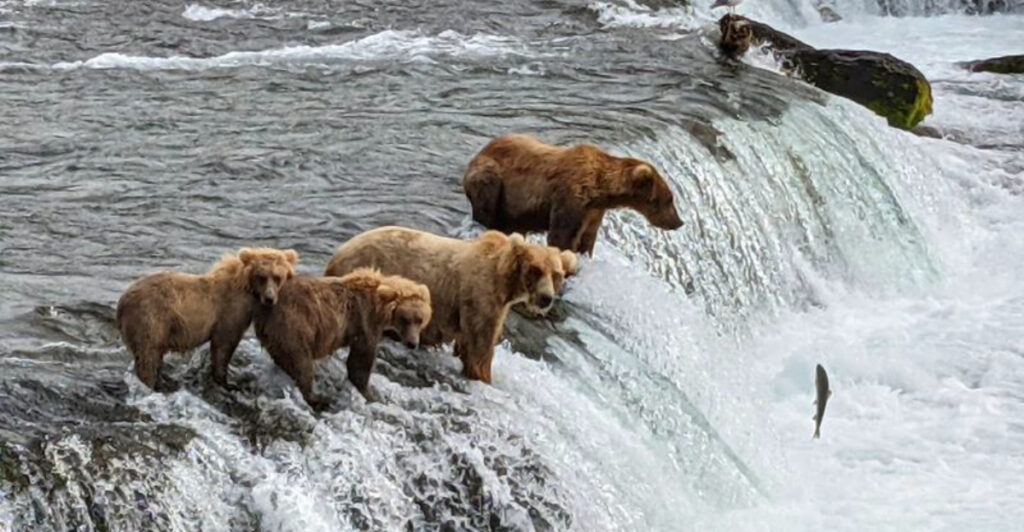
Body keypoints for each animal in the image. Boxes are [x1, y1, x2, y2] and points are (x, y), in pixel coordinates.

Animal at [116, 247, 298, 391]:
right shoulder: (228, 313)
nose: (269, 298)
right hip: (151, 318)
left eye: (278, 276)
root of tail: (122, 301)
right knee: (148, 355)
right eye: (262, 276)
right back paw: (150, 384)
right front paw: (228, 383)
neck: (247, 291)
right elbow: (223, 346)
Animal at [252, 268, 432, 410]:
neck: (381, 307)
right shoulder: (365, 322)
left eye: (420, 320)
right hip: (294, 326)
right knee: (302, 364)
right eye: (405, 319)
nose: (412, 343)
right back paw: (319, 399)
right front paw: (370, 394)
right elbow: (361, 361)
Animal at [324, 226, 573, 384]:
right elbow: (480, 348)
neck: (505, 282)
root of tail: (338, 253)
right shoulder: (479, 296)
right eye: (535, 270)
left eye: (557, 274)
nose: (546, 298)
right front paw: (483, 375)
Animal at [462, 134, 684, 255]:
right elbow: (561, 236)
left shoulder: (594, 212)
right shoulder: (571, 198)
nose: (679, 222)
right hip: (492, 179)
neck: (599, 190)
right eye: (668, 200)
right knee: (487, 206)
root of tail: (478, 153)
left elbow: (587, 238)